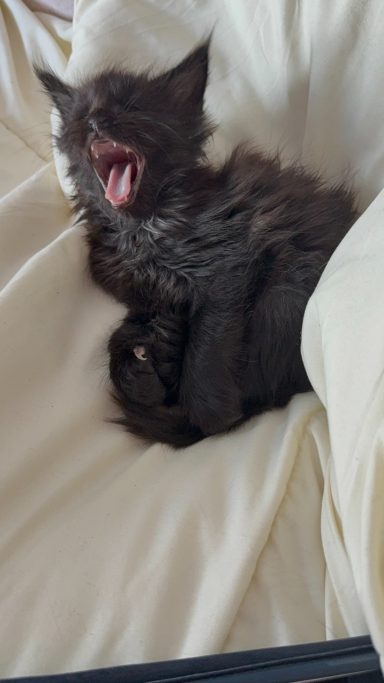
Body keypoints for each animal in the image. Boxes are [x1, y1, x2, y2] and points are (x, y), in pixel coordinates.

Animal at [36, 41, 356, 448]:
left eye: (130, 106)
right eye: (80, 114)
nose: (95, 120)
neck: (142, 231)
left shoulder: (227, 265)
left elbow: (206, 345)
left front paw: (209, 411)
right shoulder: (140, 291)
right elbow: (137, 324)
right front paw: (146, 358)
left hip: (284, 289)